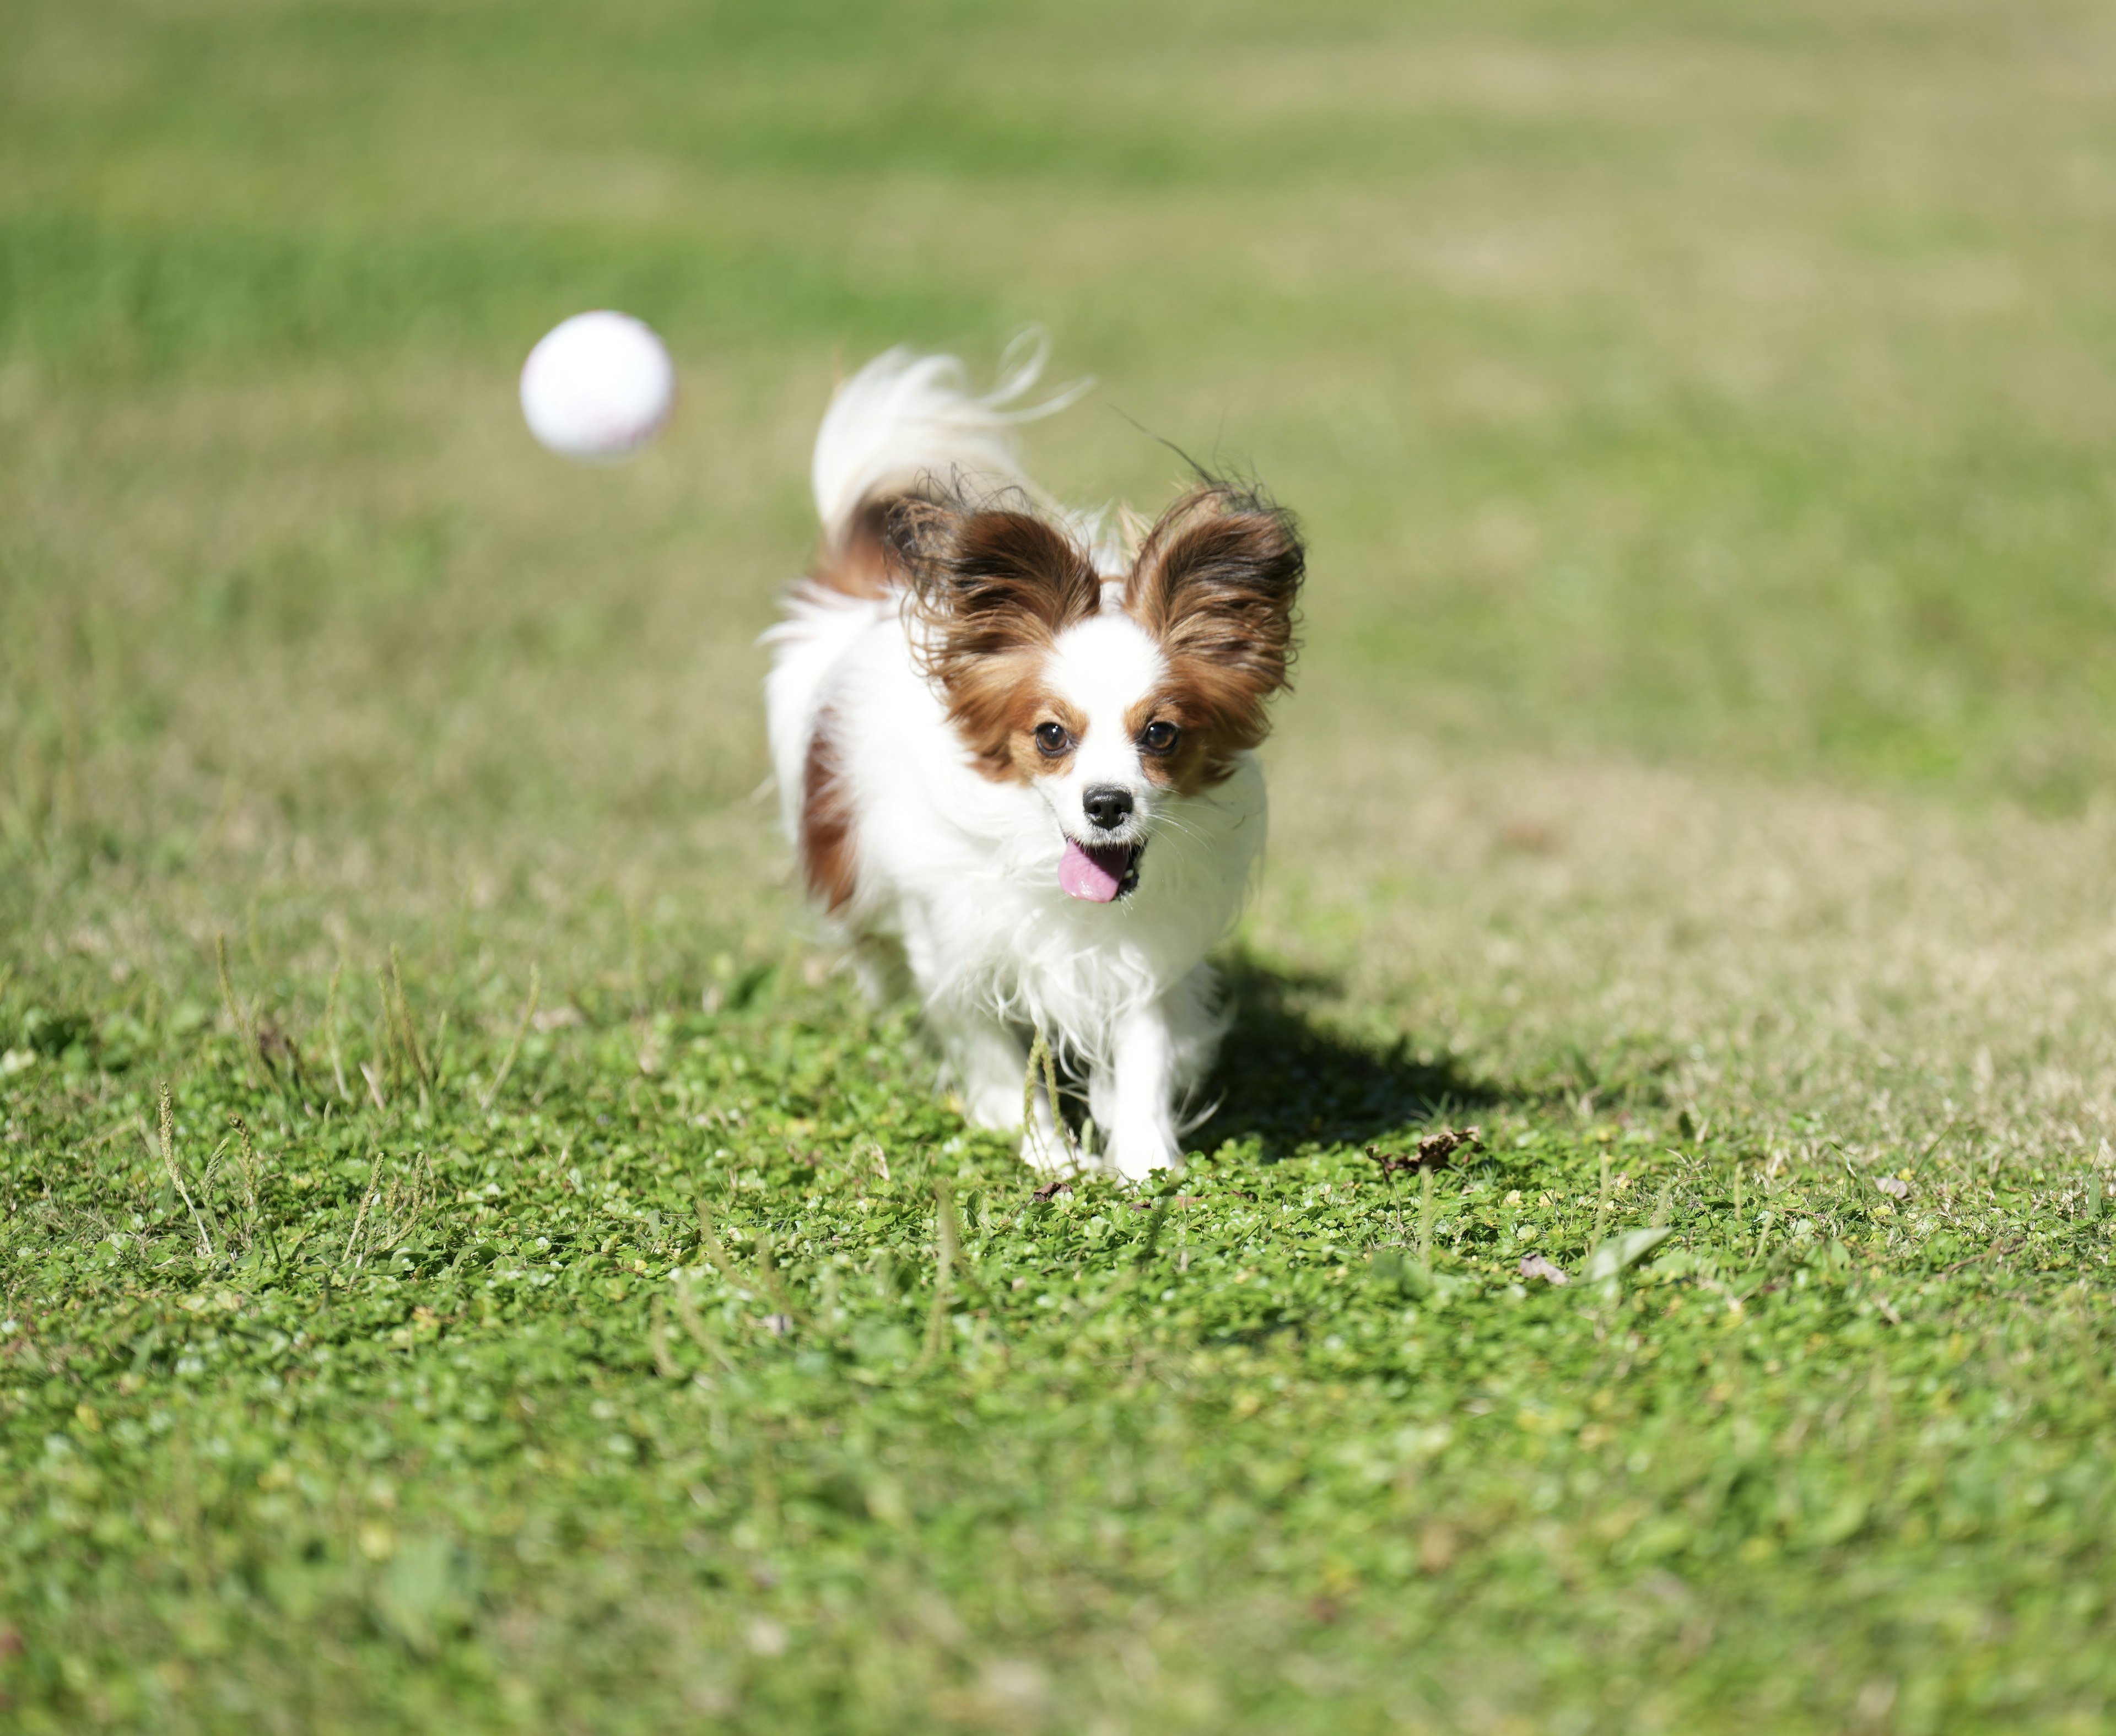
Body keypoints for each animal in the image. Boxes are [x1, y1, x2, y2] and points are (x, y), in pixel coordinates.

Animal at [766, 342, 1303, 1175]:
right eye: (1052, 735)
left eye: (1162, 734)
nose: (1108, 803)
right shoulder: (954, 951)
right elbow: (995, 1060)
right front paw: (1051, 1159)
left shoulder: (1145, 954)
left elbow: (1145, 1053)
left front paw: (1146, 1162)